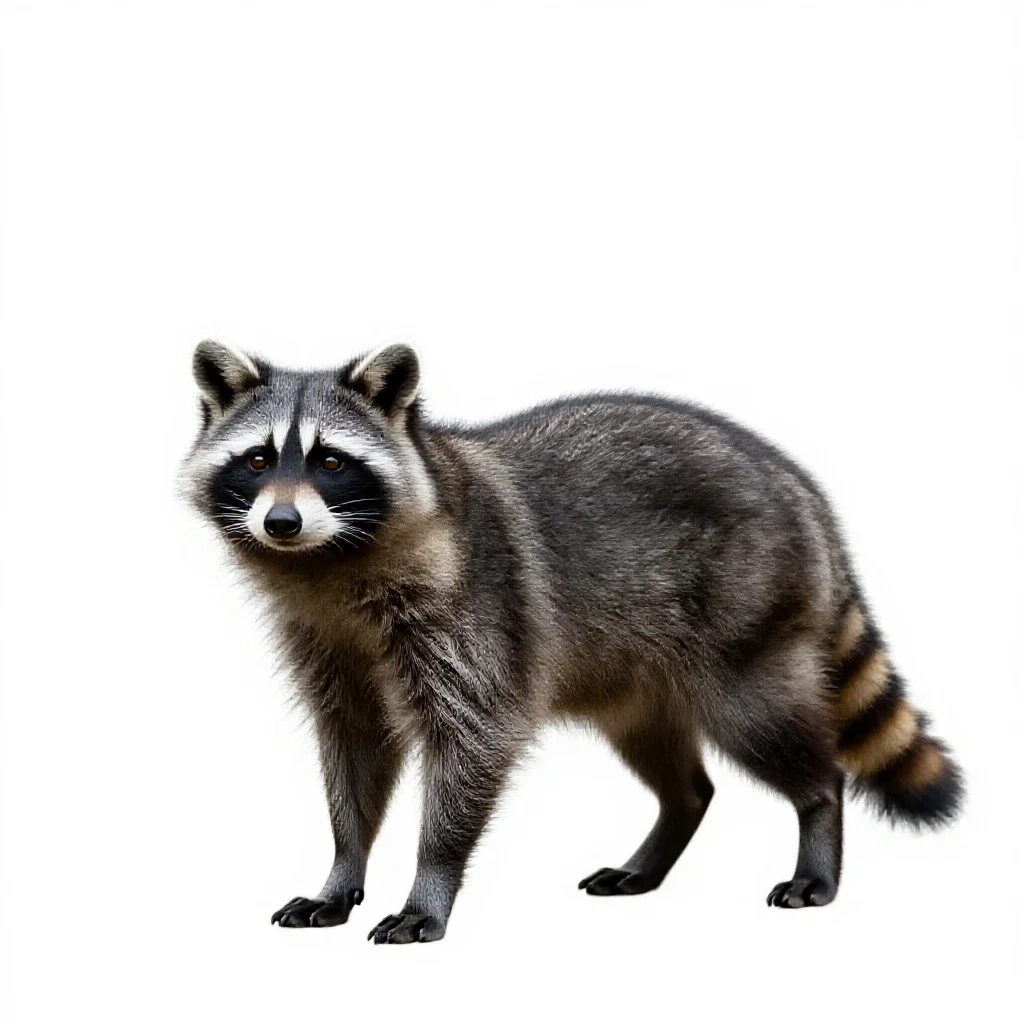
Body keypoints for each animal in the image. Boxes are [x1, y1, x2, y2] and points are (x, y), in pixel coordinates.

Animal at [182, 339, 963, 944]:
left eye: (331, 461)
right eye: (257, 460)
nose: (281, 522)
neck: (329, 562)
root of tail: (801, 487)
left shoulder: (475, 617)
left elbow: (472, 741)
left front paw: (430, 881)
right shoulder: (328, 643)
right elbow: (354, 748)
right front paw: (342, 869)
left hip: (748, 615)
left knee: (767, 723)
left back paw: (819, 819)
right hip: (635, 674)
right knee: (676, 769)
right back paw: (669, 827)